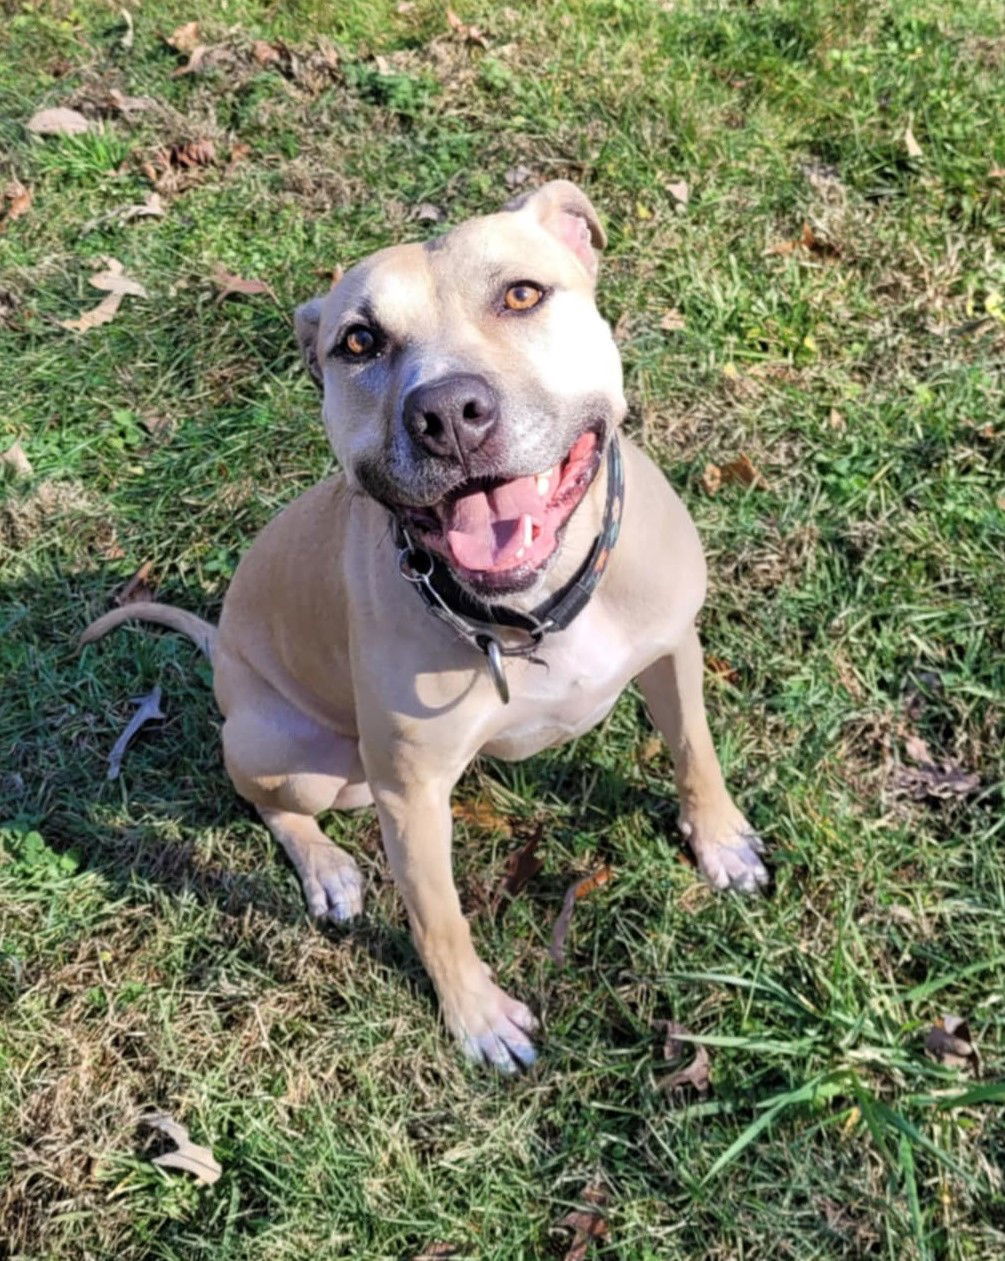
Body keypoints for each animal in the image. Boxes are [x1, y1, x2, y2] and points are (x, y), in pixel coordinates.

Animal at [82, 184, 766, 1074]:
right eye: (359, 341)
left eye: (521, 294)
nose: (446, 412)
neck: (532, 611)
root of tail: (222, 652)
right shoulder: (409, 796)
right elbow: (438, 915)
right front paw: (478, 1017)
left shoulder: (671, 648)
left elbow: (693, 750)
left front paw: (719, 839)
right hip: (304, 757)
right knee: (261, 796)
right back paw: (327, 867)